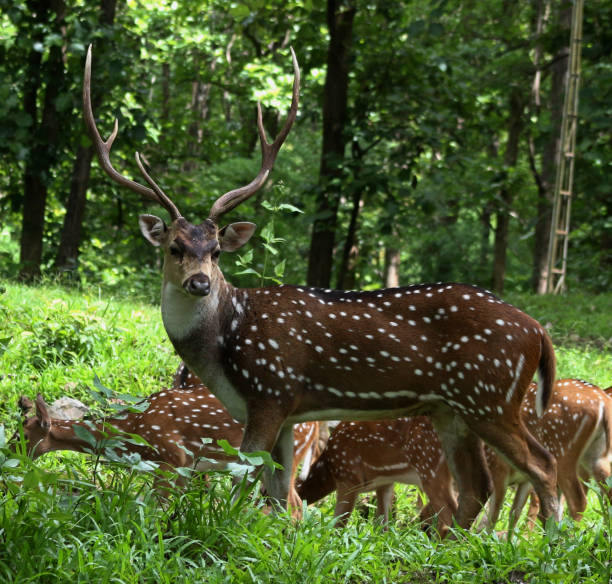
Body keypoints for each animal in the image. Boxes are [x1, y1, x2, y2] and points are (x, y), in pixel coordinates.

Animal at [296, 412, 454, 532]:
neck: (328, 469)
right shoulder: (385, 483)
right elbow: (382, 523)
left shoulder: (349, 478)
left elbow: (339, 523)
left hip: (430, 466)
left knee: (449, 513)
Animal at [482, 378, 612, 528]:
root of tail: (603, 402)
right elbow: (513, 513)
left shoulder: (499, 472)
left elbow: (491, 515)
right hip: (595, 455)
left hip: (562, 451)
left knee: (576, 501)